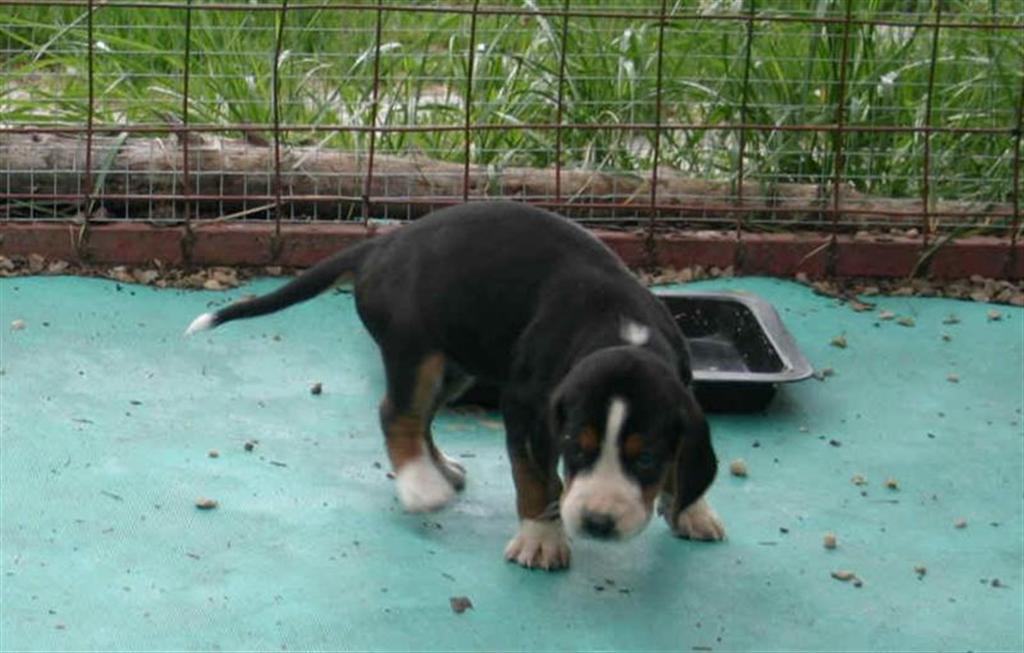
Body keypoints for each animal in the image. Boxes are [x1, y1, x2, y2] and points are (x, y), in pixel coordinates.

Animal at [186, 201, 725, 570]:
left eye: (647, 459)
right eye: (576, 448)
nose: (597, 524)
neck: (619, 329)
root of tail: (381, 244)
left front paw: (690, 510)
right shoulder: (525, 408)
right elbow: (535, 479)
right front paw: (541, 538)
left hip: (457, 364)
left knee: (421, 418)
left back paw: (440, 469)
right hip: (415, 351)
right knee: (396, 414)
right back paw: (423, 486)